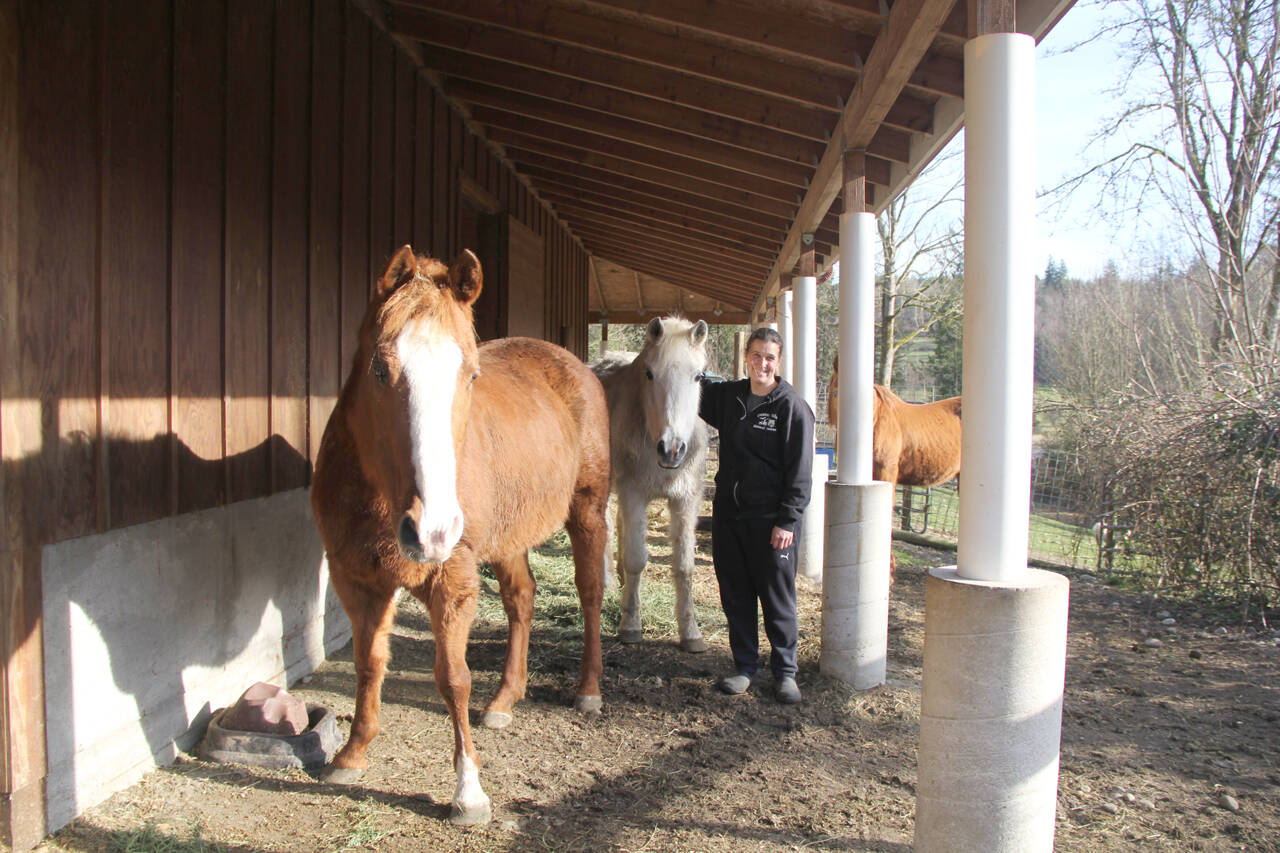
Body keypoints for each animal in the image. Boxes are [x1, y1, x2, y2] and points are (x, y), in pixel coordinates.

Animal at [310, 245, 610, 825]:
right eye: (380, 368)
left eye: (470, 375)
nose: (431, 529)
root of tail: (571, 364)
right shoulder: (356, 579)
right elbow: (367, 663)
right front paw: (352, 753)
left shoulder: (450, 582)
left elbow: (453, 678)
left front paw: (468, 791)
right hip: (508, 537)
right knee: (521, 598)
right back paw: (505, 700)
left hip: (587, 511)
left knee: (589, 594)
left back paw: (588, 690)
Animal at [591, 316, 710, 653]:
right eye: (649, 373)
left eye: (699, 376)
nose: (671, 449)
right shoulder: (633, 494)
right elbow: (636, 559)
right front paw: (630, 625)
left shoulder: (686, 501)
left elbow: (684, 565)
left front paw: (690, 631)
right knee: (605, 528)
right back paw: (606, 584)